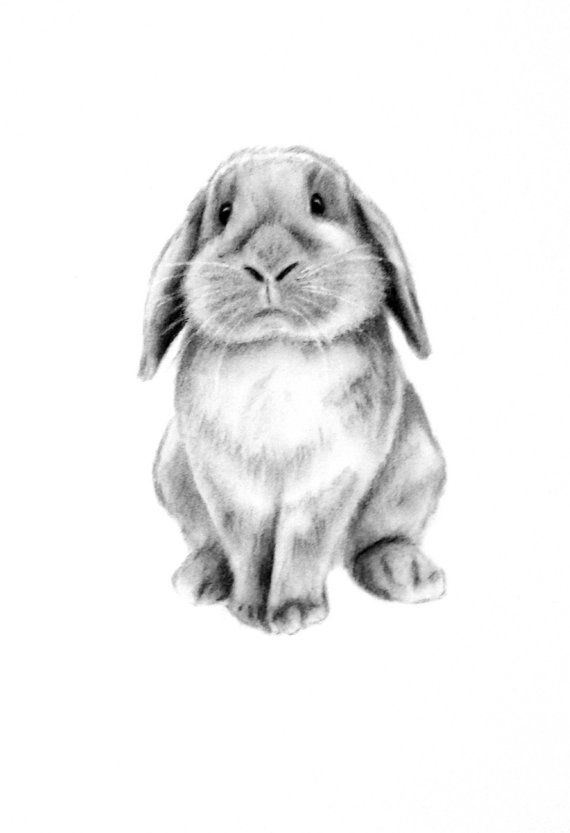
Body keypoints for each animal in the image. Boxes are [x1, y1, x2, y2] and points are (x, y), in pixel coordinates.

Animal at [139, 146, 446, 634]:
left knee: (376, 540)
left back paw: (408, 574)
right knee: (210, 540)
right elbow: (247, 542)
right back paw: (199, 578)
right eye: (224, 213)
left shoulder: (330, 479)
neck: (279, 346)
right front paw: (248, 610)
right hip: (171, 469)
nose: (268, 264)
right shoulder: (230, 484)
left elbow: (304, 541)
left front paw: (293, 612)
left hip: (420, 468)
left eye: (318, 204)